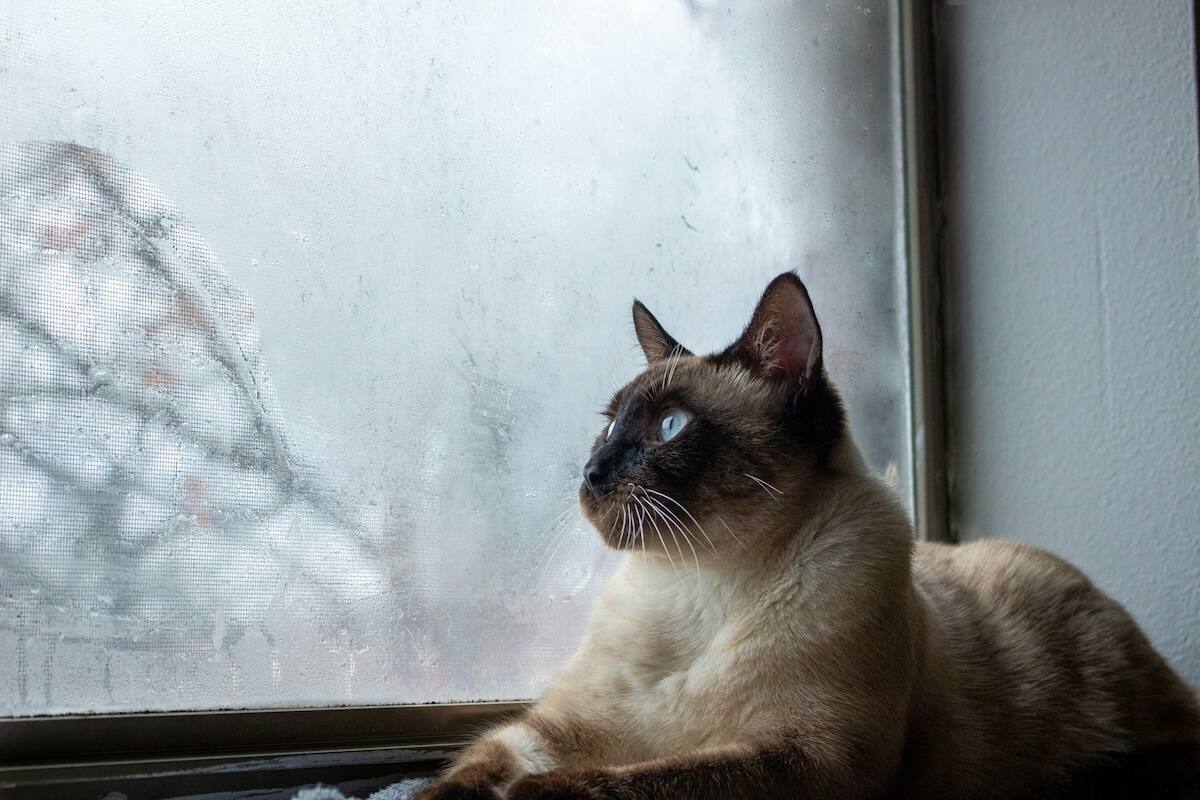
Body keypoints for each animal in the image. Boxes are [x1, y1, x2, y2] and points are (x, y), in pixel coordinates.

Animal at [415, 272, 1200, 796]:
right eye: (608, 427)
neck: (699, 582)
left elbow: (642, 781)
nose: (590, 470)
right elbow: (467, 771)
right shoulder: (563, 729)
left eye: (670, 426)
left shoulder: (809, 758)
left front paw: (529, 796)